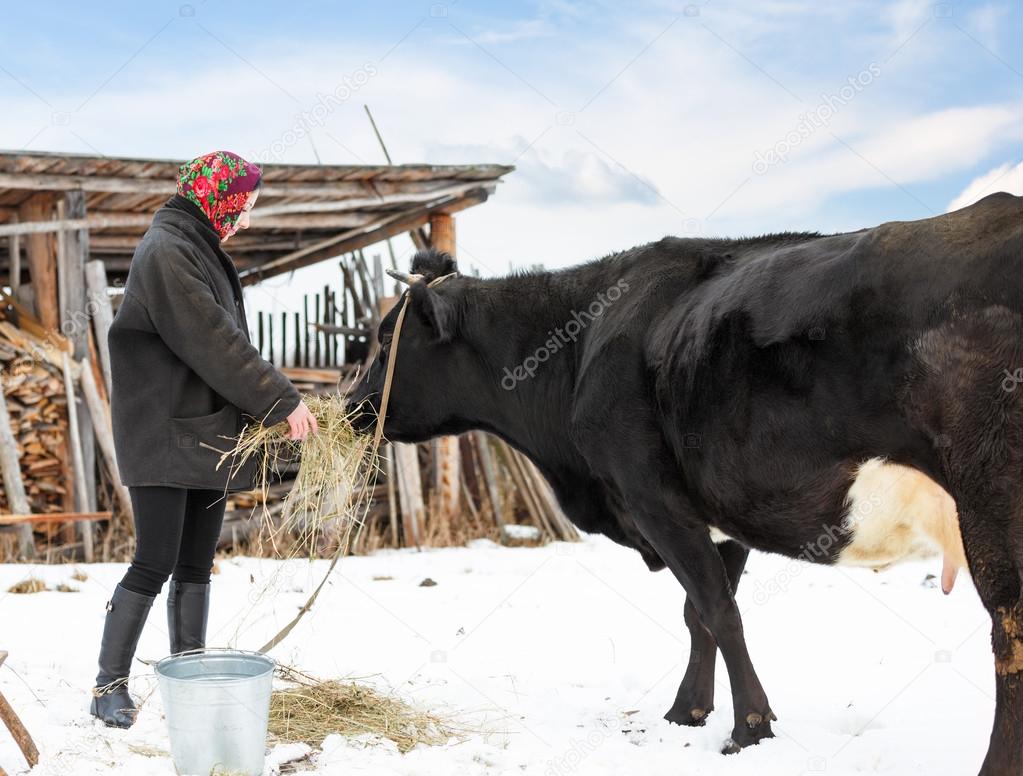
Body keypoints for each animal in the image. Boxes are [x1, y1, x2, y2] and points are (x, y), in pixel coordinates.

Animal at [349, 190, 1023, 776]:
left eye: (385, 340)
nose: (350, 404)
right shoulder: (725, 511)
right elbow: (698, 612)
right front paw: (688, 712)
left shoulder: (654, 498)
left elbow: (718, 610)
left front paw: (749, 729)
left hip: (992, 500)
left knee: (1008, 632)